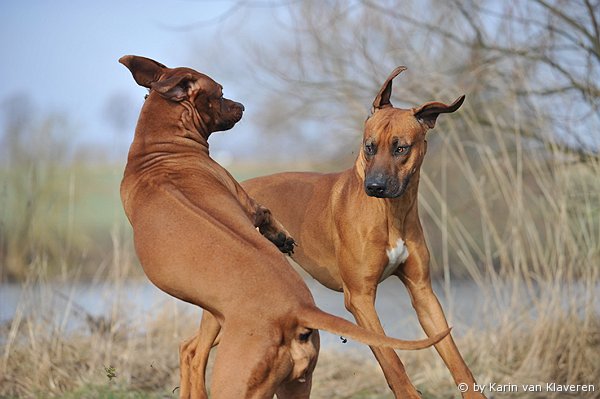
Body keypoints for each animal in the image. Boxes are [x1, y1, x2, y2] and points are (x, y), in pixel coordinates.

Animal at [188, 67, 488, 398]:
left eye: (401, 148)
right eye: (369, 146)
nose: (375, 187)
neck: (391, 214)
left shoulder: (423, 292)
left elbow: (455, 358)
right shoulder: (359, 298)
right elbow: (392, 360)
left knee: (189, 346)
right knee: (197, 352)